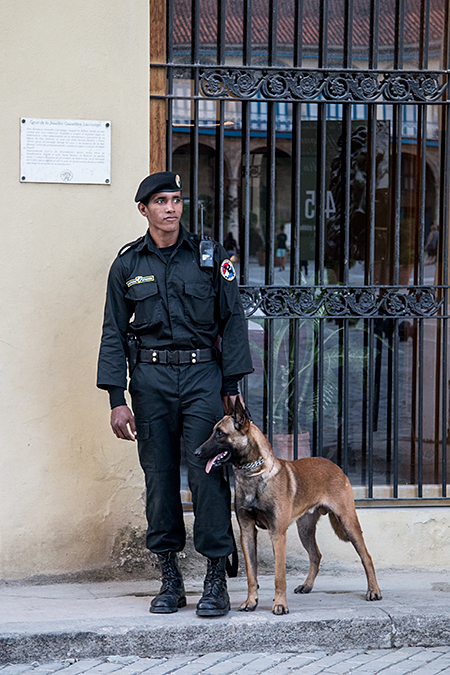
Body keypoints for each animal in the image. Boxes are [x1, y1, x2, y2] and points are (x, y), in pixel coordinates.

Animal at [195, 398, 382, 616]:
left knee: (366, 556)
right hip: (305, 530)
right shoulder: (247, 533)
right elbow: (251, 574)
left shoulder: (277, 534)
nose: (196, 452)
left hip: (348, 523)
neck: (254, 474)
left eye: (220, 433)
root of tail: (335, 466)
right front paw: (251, 601)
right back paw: (307, 585)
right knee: (316, 555)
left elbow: (279, 576)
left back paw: (373, 591)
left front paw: (280, 604)